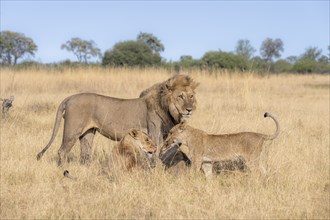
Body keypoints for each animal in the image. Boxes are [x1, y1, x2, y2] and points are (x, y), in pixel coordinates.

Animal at [36, 74, 199, 165]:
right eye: (180, 96)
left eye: (191, 96)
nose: (189, 109)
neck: (168, 109)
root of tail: (69, 98)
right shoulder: (154, 136)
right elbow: (155, 156)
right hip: (72, 131)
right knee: (62, 151)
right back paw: (63, 169)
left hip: (88, 133)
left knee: (85, 153)